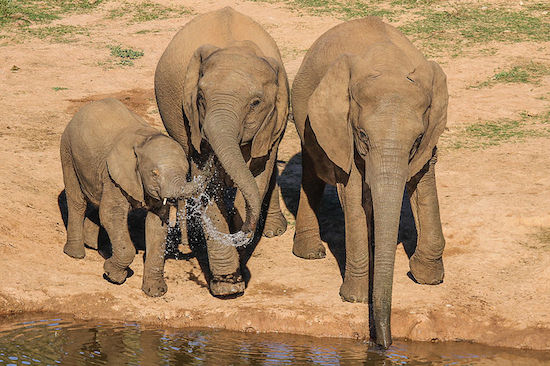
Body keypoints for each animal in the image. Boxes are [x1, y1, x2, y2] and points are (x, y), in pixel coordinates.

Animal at [61, 98, 198, 298]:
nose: (187, 244)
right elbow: (112, 214)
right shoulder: (114, 175)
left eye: (186, 170)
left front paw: (155, 292)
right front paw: (113, 274)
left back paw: (93, 246)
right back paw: (76, 254)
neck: (145, 140)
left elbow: (157, 224)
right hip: (68, 149)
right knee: (77, 201)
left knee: (96, 198)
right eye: (154, 173)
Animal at [153, 6, 292, 298]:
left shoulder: (272, 119)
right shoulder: (191, 119)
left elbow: (258, 174)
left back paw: (273, 231)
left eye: (255, 103)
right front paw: (227, 286)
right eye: (201, 98)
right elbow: (210, 190)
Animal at [294, 17, 448, 348]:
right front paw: (355, 298)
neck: (389, 67)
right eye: (363, 136)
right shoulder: (344, 130)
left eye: (417, 139)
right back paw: (310, 253)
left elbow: (423, 180)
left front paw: (429, 278)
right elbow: (352, 195)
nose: (383, 344)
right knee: (313, 171)